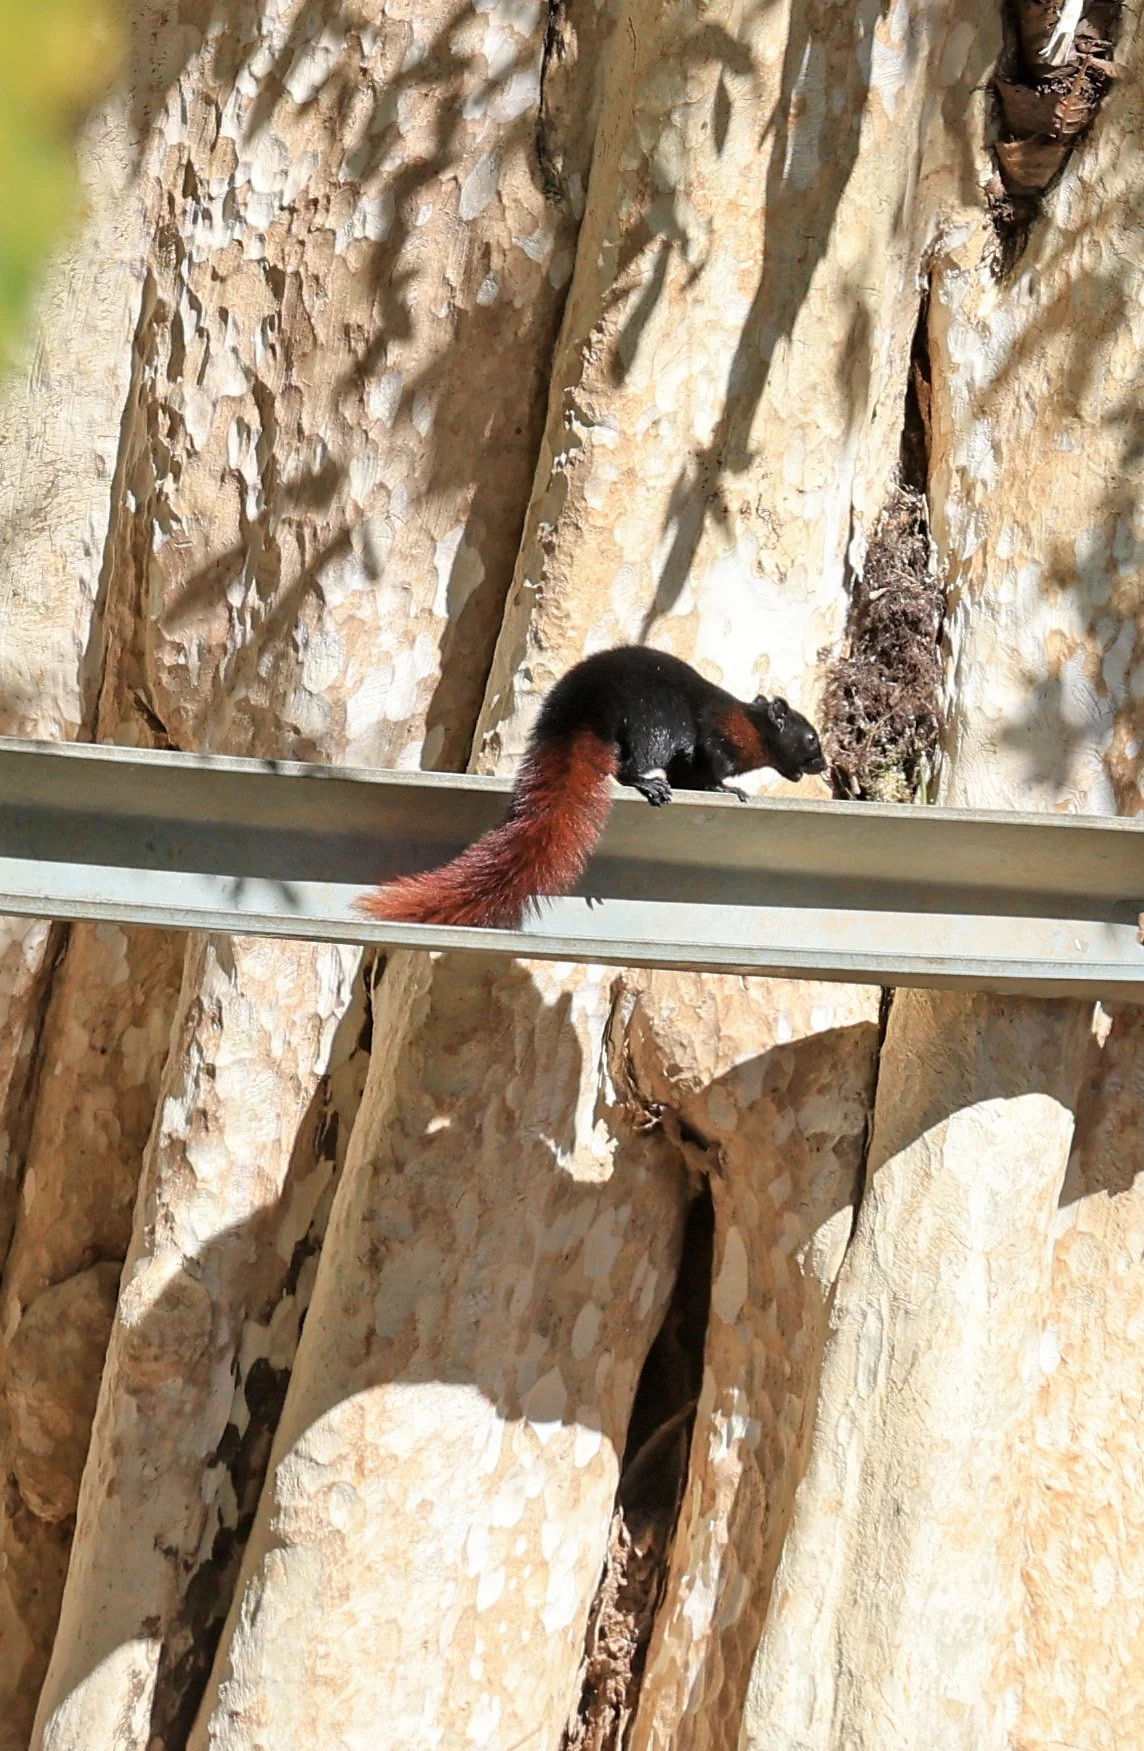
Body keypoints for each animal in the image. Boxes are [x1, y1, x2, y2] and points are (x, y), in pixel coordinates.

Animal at [358, 644, 828, 931]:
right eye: (811, 738)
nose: (824, 764)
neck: (747, 730)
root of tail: (583, 704)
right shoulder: (715, 738)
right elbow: (706, 768)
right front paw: (729, 790)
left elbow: (690, 776)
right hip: (655, 722)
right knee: (629, 764)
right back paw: (648, 785)